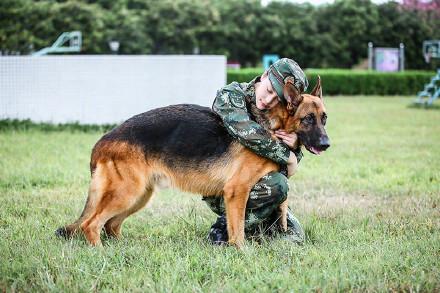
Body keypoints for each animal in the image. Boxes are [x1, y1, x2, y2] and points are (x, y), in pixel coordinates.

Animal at [55, 76, 328, 246]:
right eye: (307, 119)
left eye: (324, 118)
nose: (326, 144)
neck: (273, 125)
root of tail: (102, 141)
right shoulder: (237, 191)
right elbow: (238, 231)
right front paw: (242, 252)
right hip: (127, 193)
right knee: (91, 224)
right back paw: (101, 253)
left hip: (139, 196)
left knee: (111, 225)